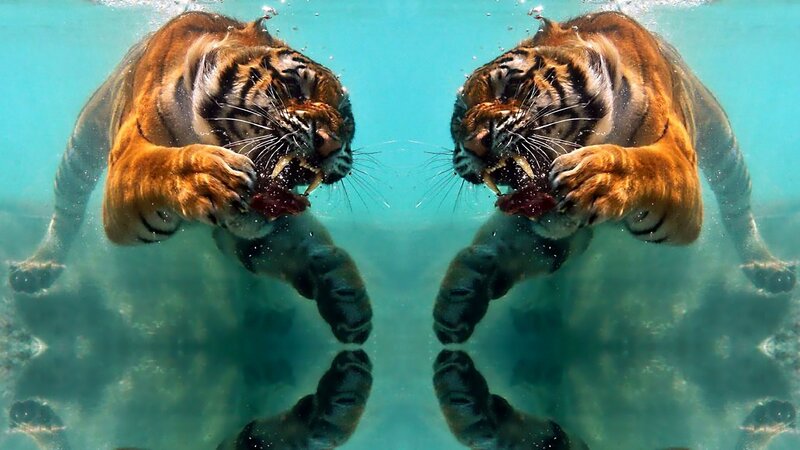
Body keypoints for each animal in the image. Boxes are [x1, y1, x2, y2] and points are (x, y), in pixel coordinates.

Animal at [7, 11, 372, 344]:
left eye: (346, 119)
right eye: (294, 86)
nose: (331, 144)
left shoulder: (253, 229)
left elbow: (299, 245)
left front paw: (345, 295)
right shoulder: (126, 161)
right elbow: (158, 166)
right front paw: (209, 177)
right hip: (81, 145)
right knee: (67, 208)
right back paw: (37, 268)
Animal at [433, 11, 796, 344]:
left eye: (511, 86)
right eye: (459, 118)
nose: (473, 144)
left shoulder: (679, 161)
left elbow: (647, 166)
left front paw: (596, 177)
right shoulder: (551, 228)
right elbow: (504, 245)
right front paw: (459, 295)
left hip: (722, 143)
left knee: (737, 208)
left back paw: (767, 268)